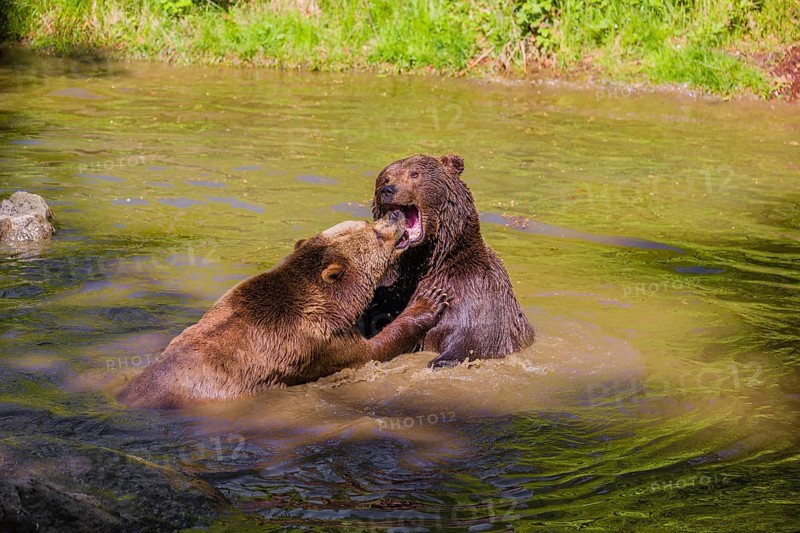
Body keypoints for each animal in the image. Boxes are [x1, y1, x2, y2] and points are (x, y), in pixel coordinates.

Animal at [119, 213, 450, 409]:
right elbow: (373, 350)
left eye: (364, 222)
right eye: (376, 233)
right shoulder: (322, 342)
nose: (393, 216)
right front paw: (429, 301)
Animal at [362, 153, 534, 368]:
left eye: (414, 173)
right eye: (386, 178)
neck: (428, 261)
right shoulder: (390, 290)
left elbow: (471, 340)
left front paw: (440, 360)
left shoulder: (475, 292)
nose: (388, 190)